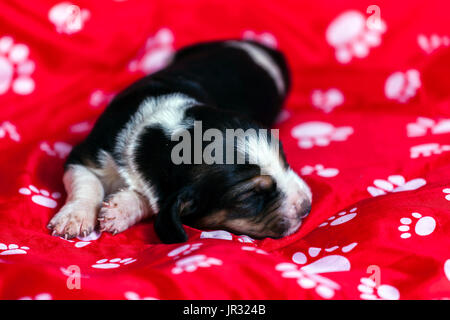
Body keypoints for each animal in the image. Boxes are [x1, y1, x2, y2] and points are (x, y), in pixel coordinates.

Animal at [46, 39, 312, 242]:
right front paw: (73, 218)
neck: (161, 136)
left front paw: (120, 210)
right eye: (248, 197)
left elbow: (153, 200)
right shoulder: (86, 154)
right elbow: (86, 183)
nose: (307, 206)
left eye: (285, 162)